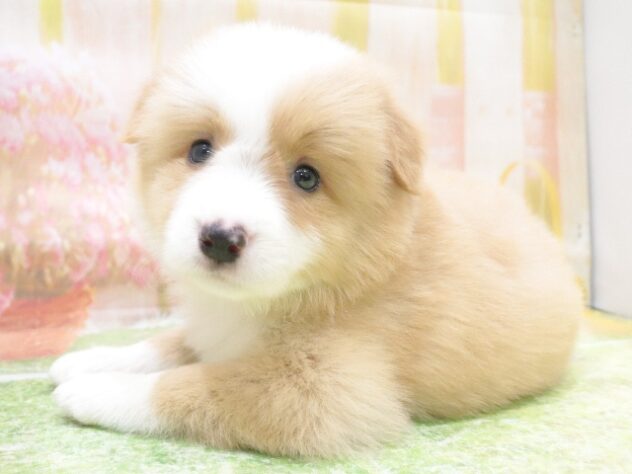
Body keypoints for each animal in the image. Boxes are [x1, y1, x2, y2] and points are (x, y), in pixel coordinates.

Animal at [51, 24, 581, 457]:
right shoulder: (213, 325)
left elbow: (201, 384)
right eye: (199, 150)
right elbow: (172, 343)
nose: (220, 238)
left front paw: (98, 391)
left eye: (306, 177)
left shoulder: (327, 393)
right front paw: (92, 361)